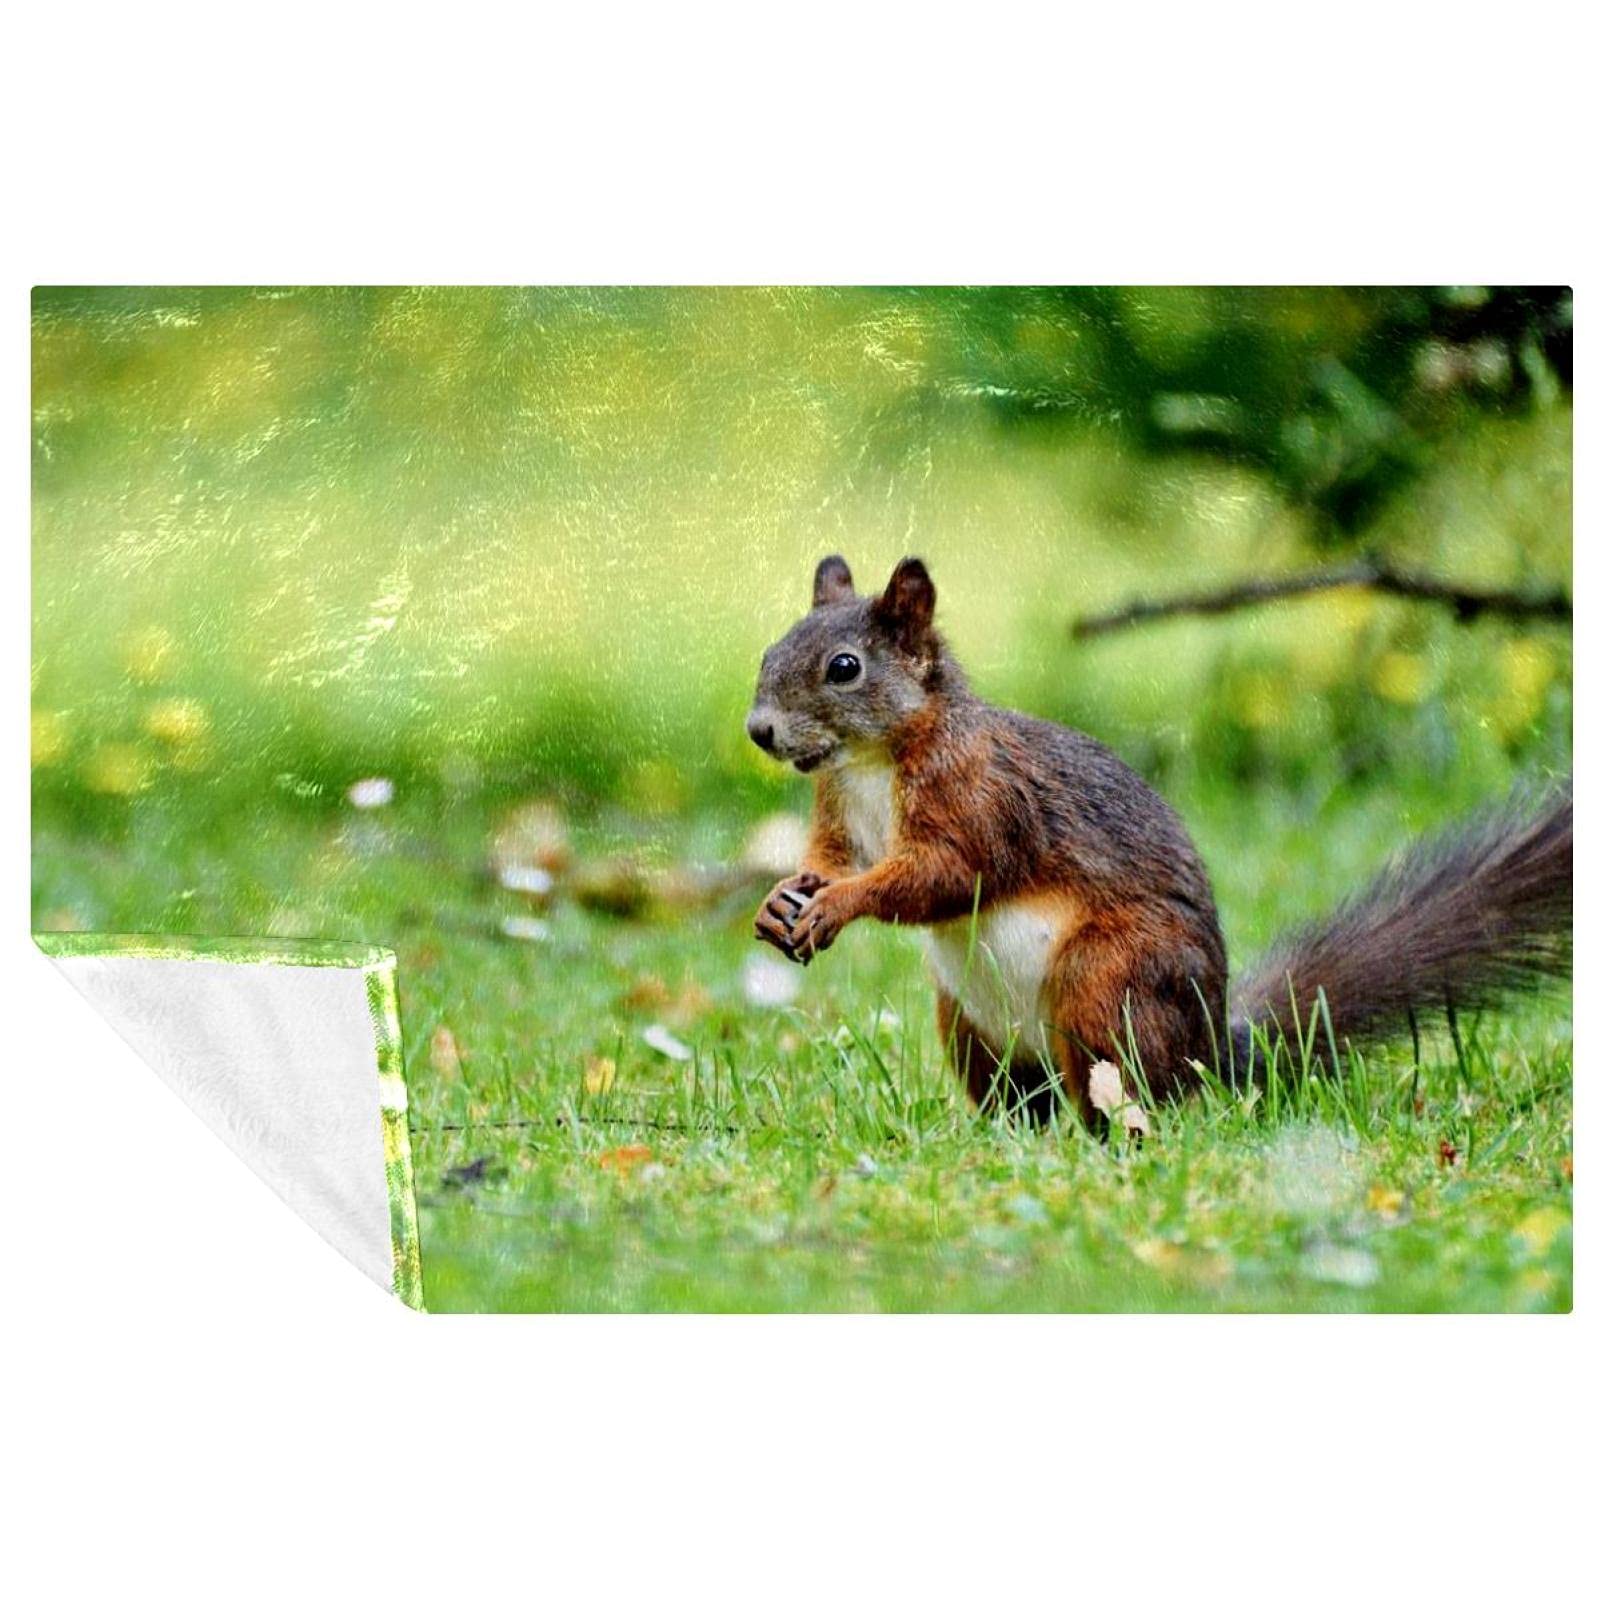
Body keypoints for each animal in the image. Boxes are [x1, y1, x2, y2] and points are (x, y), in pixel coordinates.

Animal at [747, 554, 1572, 1122]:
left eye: (844, 667)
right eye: (770, 651)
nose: (759, 731)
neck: (870, 763)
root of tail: (1206, 1050)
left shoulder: (981, 799)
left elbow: (942, 874)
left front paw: (838, 903)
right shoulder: (837, 809)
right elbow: (829, 857)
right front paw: (783, 898)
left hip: (1106, 981)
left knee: (1118, 1086)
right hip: (969, 1024)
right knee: (1024, 1100)